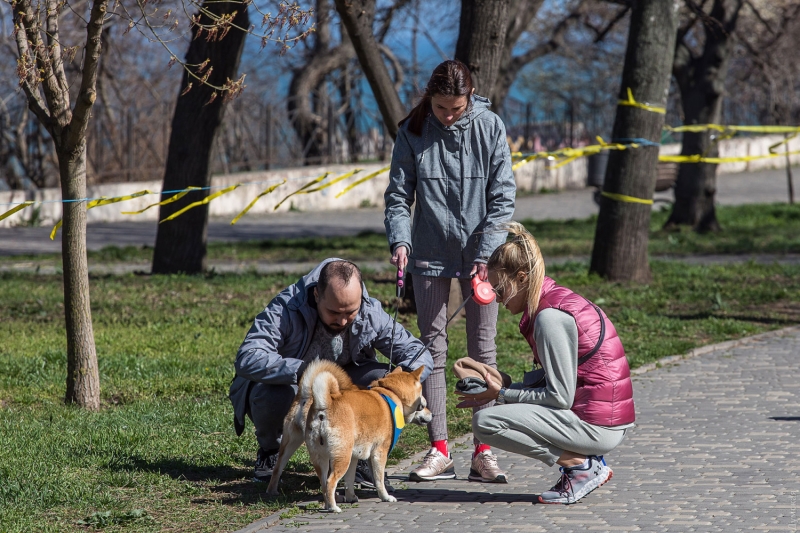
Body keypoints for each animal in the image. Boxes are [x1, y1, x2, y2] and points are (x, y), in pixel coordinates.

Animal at [266, 360, 432, 510]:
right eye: (422, 404)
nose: (432, 414)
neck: (390, 393)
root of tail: (323, 403)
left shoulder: (354, 456)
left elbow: (350, 480)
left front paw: (351, 497)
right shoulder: (379, 453)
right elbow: (379, 479)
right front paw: (385, 496)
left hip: (306, 450)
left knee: (291, 472)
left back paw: (275, 492)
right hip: (341, 457)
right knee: (330, 481)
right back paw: (333, 507)